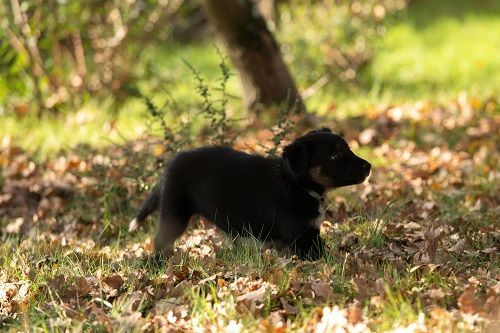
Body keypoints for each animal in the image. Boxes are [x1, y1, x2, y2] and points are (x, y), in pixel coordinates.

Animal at [129, 128, 372, 258]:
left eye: (348, 148)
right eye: (334, 155)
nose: (369, 166)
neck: (295, 184)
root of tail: (172, 164)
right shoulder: (301, 235)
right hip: (175, 212)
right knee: (160, 240)